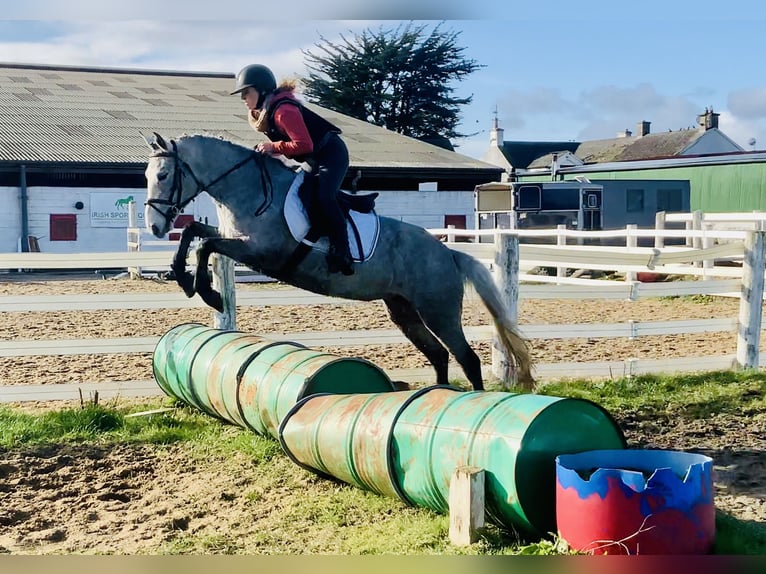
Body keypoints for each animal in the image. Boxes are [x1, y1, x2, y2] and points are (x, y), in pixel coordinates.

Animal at [146, 131, 536, 394]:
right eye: (148, 177)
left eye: (163, 176)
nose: (154, 227)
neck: (248, 189)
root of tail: (448, 254)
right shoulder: (236, 239)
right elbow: (195, 232)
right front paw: (181, 276)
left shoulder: (261, 251)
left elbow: (205, 245)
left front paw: (207, 293)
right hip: (404, 310)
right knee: (439, 355)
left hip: (437, 309)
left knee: (466, 358)